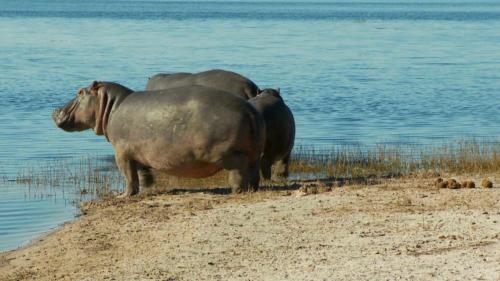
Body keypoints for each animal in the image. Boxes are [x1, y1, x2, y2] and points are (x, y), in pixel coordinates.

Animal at [52, 80, 266, 195]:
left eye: (80, 92)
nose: (55, 111)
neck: (111, 105)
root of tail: (249, 111)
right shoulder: (138, 152)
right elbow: (141, 173)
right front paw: (147, 187)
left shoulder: (121, 153)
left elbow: (128, 175)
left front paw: (123, 195)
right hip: (255, 153)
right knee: (253, 171)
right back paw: (253, 189)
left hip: (225, 154)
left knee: (239, 169)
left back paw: (237, 190)